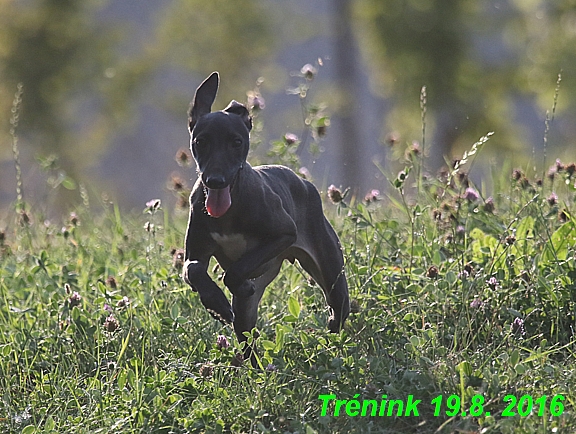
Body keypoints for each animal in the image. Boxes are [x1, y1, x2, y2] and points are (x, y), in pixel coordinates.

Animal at [182, 71, 348, 354]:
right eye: (200, 141)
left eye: (236, 142)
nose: (215, 181)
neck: (230, 209)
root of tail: (304, 183)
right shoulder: (196, 254)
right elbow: (193, 269)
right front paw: (216, 303)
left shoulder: (284, 234)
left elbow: (236, 270)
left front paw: (236, 284)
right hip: (247, 311)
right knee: (248, 337)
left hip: (331, 272)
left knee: (338, 309)